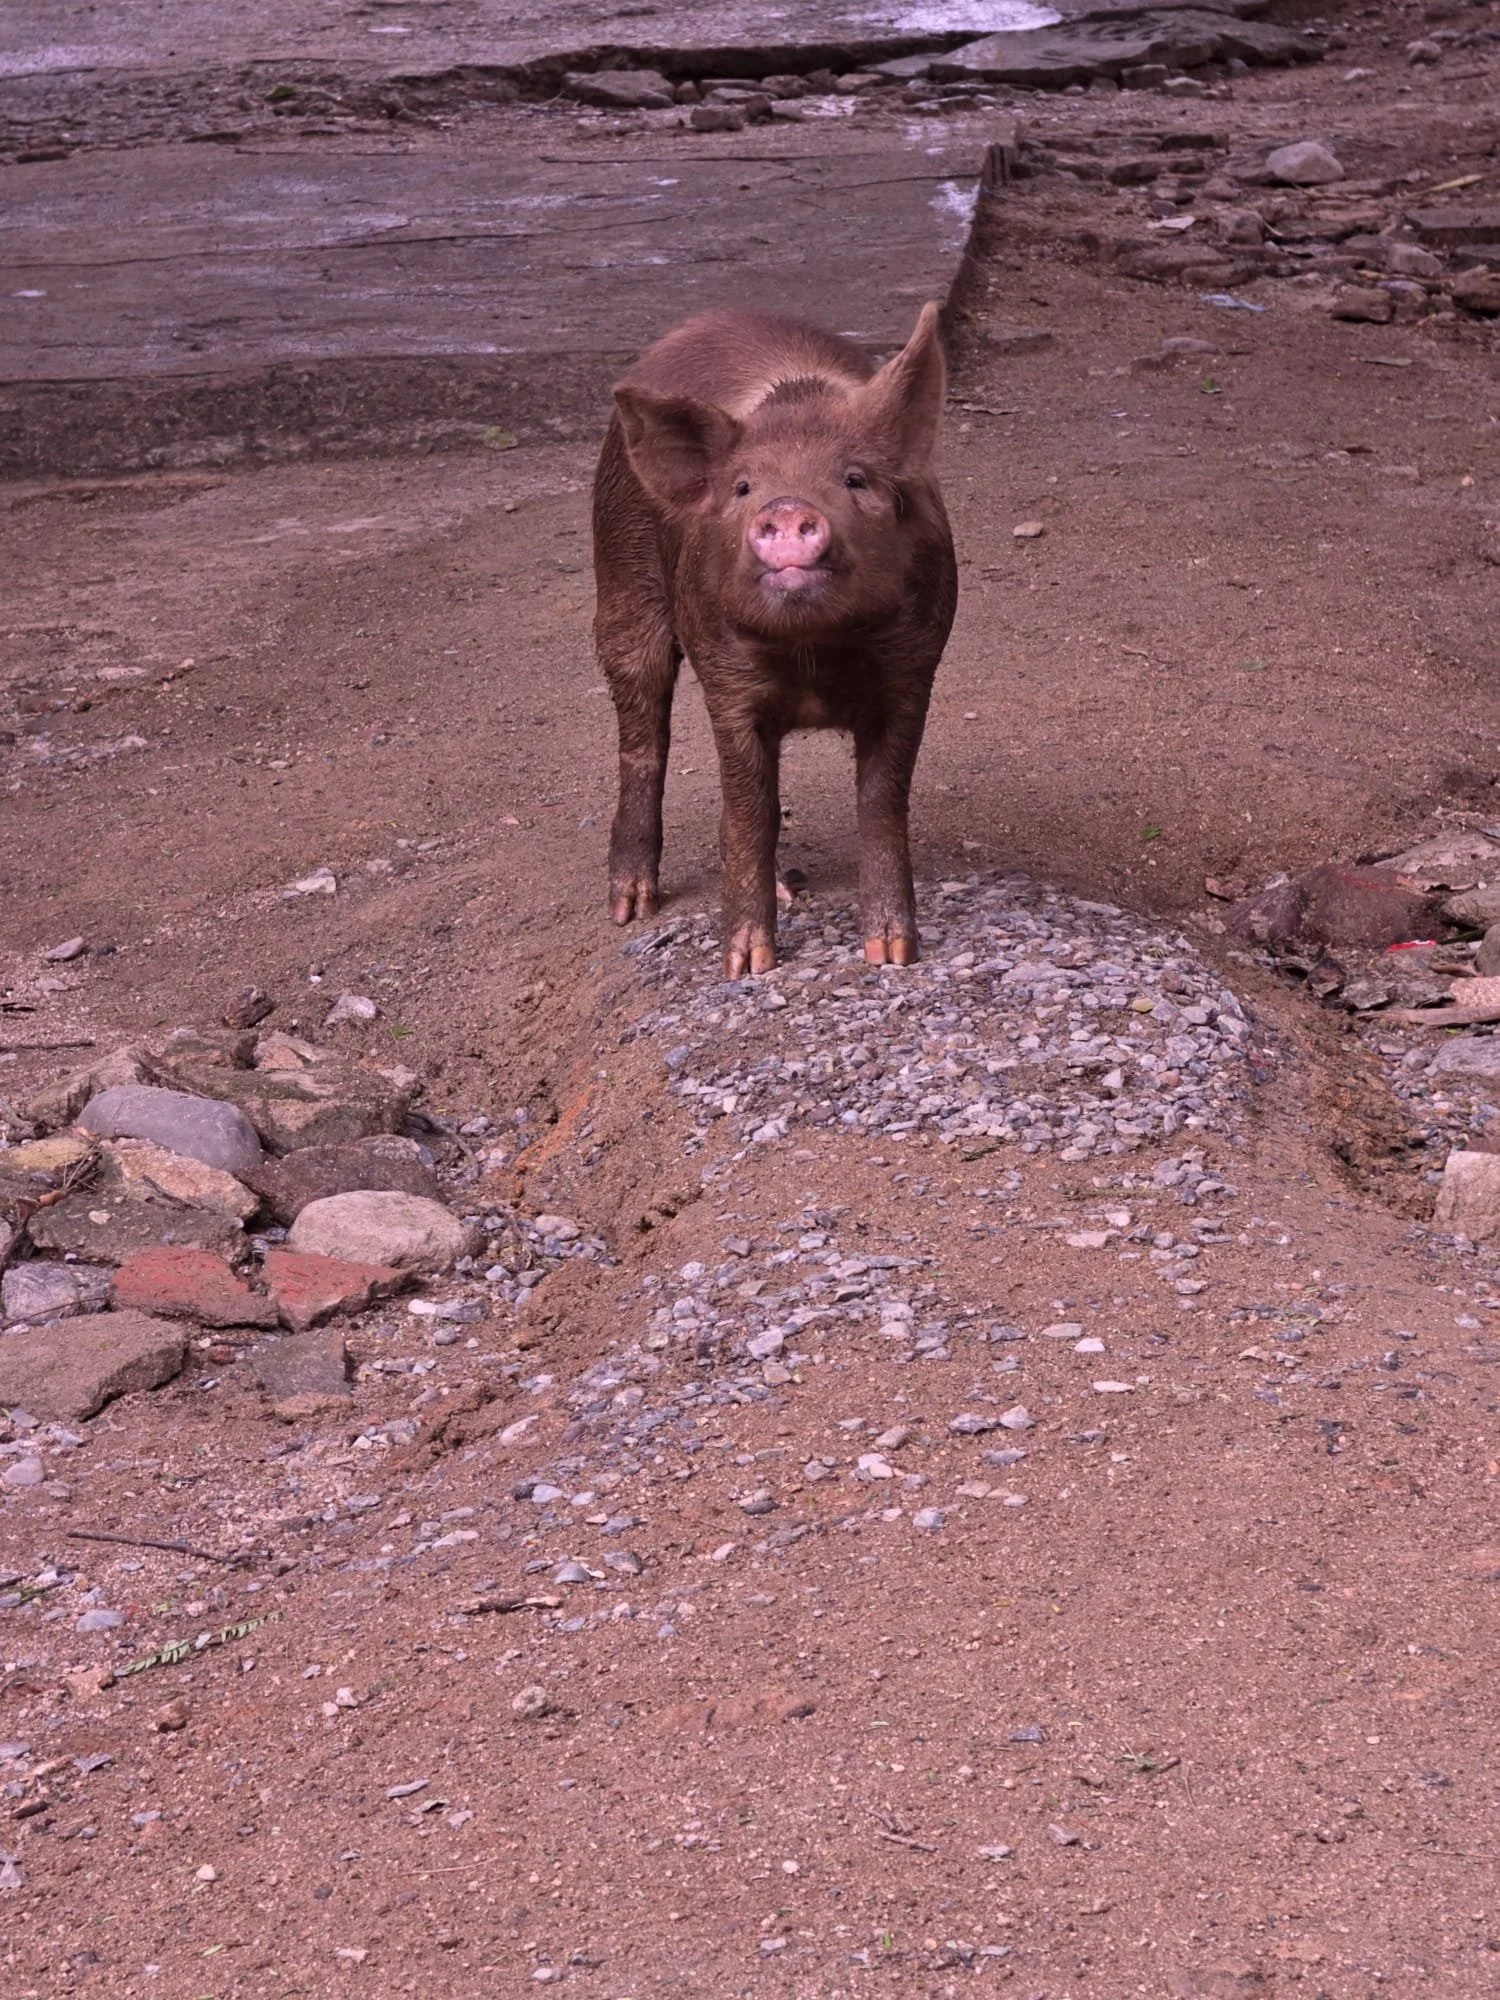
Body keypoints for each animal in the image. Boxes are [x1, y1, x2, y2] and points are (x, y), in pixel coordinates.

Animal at [592, 302, 957, 976]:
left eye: (855, 479)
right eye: (742, 488)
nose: (786, 507)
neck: (812, 651)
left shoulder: (914, 669)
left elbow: (882, 800)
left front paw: (892, 954)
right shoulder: (728, 683)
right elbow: (750, 811)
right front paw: (747, 967)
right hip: (621, 570)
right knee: (642, 733)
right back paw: (631, 907)